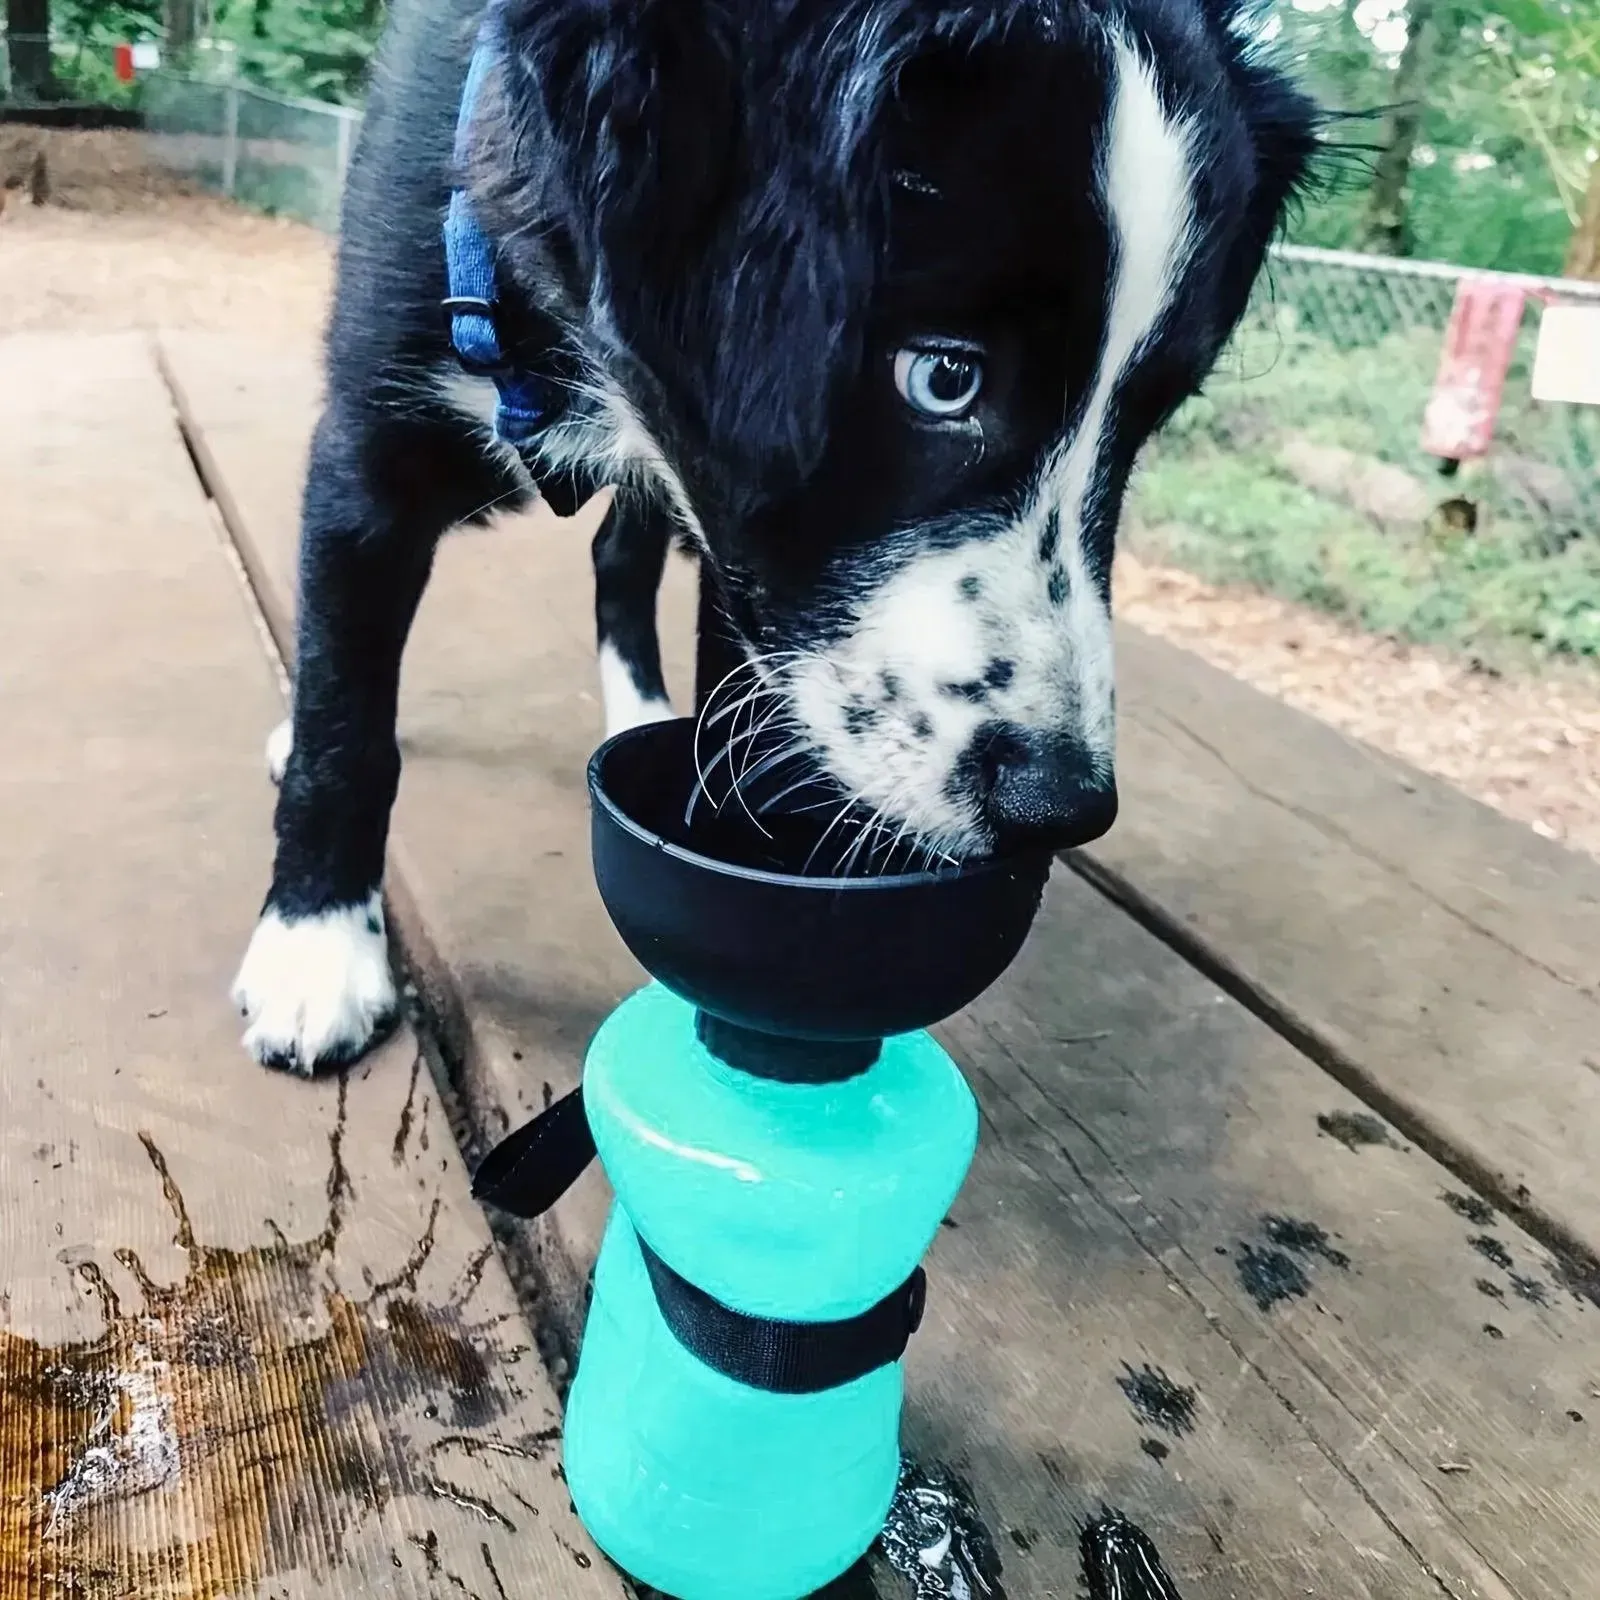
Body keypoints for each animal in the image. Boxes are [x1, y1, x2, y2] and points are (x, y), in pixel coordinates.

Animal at [232, 3, 1318, 1075]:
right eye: (944, 376)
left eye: (1150, 417)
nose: (1061, 808)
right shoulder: (366, 457)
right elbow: (346, 724)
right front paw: (314, 949)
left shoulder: (740, 541)